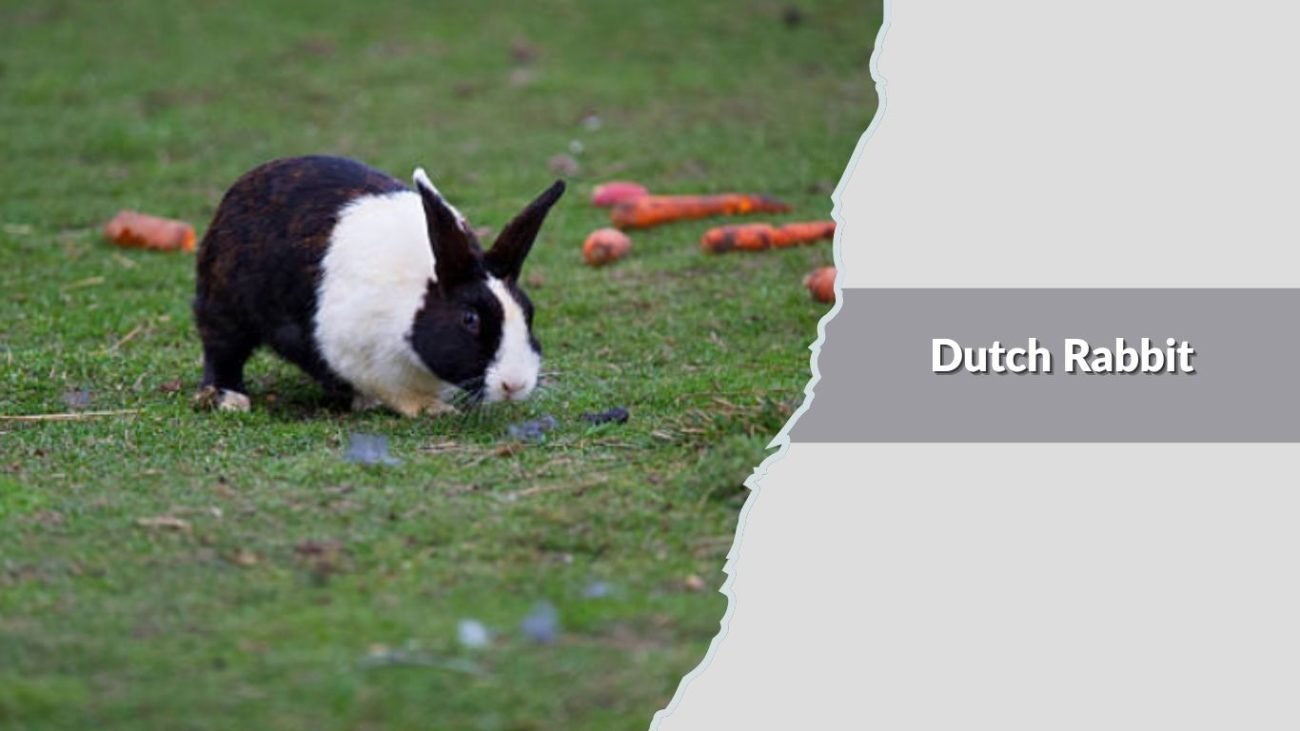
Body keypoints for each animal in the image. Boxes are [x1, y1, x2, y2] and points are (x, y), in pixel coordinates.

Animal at [192, 155, 565, 416]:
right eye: (469, 319)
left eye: (529, 312)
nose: (515, 384)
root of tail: (247, 182)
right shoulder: (357, 356)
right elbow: (392, 392)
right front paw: (432, 409)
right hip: (224, 302)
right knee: (222, 347)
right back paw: (228, 398)